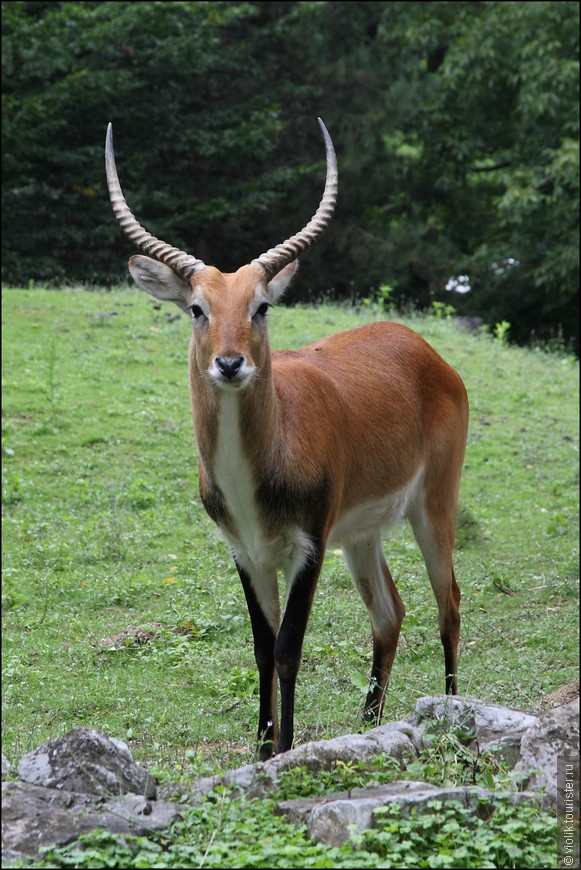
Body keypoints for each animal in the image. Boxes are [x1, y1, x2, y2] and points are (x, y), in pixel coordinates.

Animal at [104, 119, 466, 760]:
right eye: (195, 308)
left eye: (262, 306)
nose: (229, 363)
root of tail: (424, 350)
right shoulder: (247, 553)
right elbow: (259, 649)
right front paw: (263, 750)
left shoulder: (308, 546)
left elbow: (288, 649)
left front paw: (290, 751)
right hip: (362, 535)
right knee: (389, 613)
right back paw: (370, 725)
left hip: (432, 505)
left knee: (448, 603)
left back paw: (449, 715)